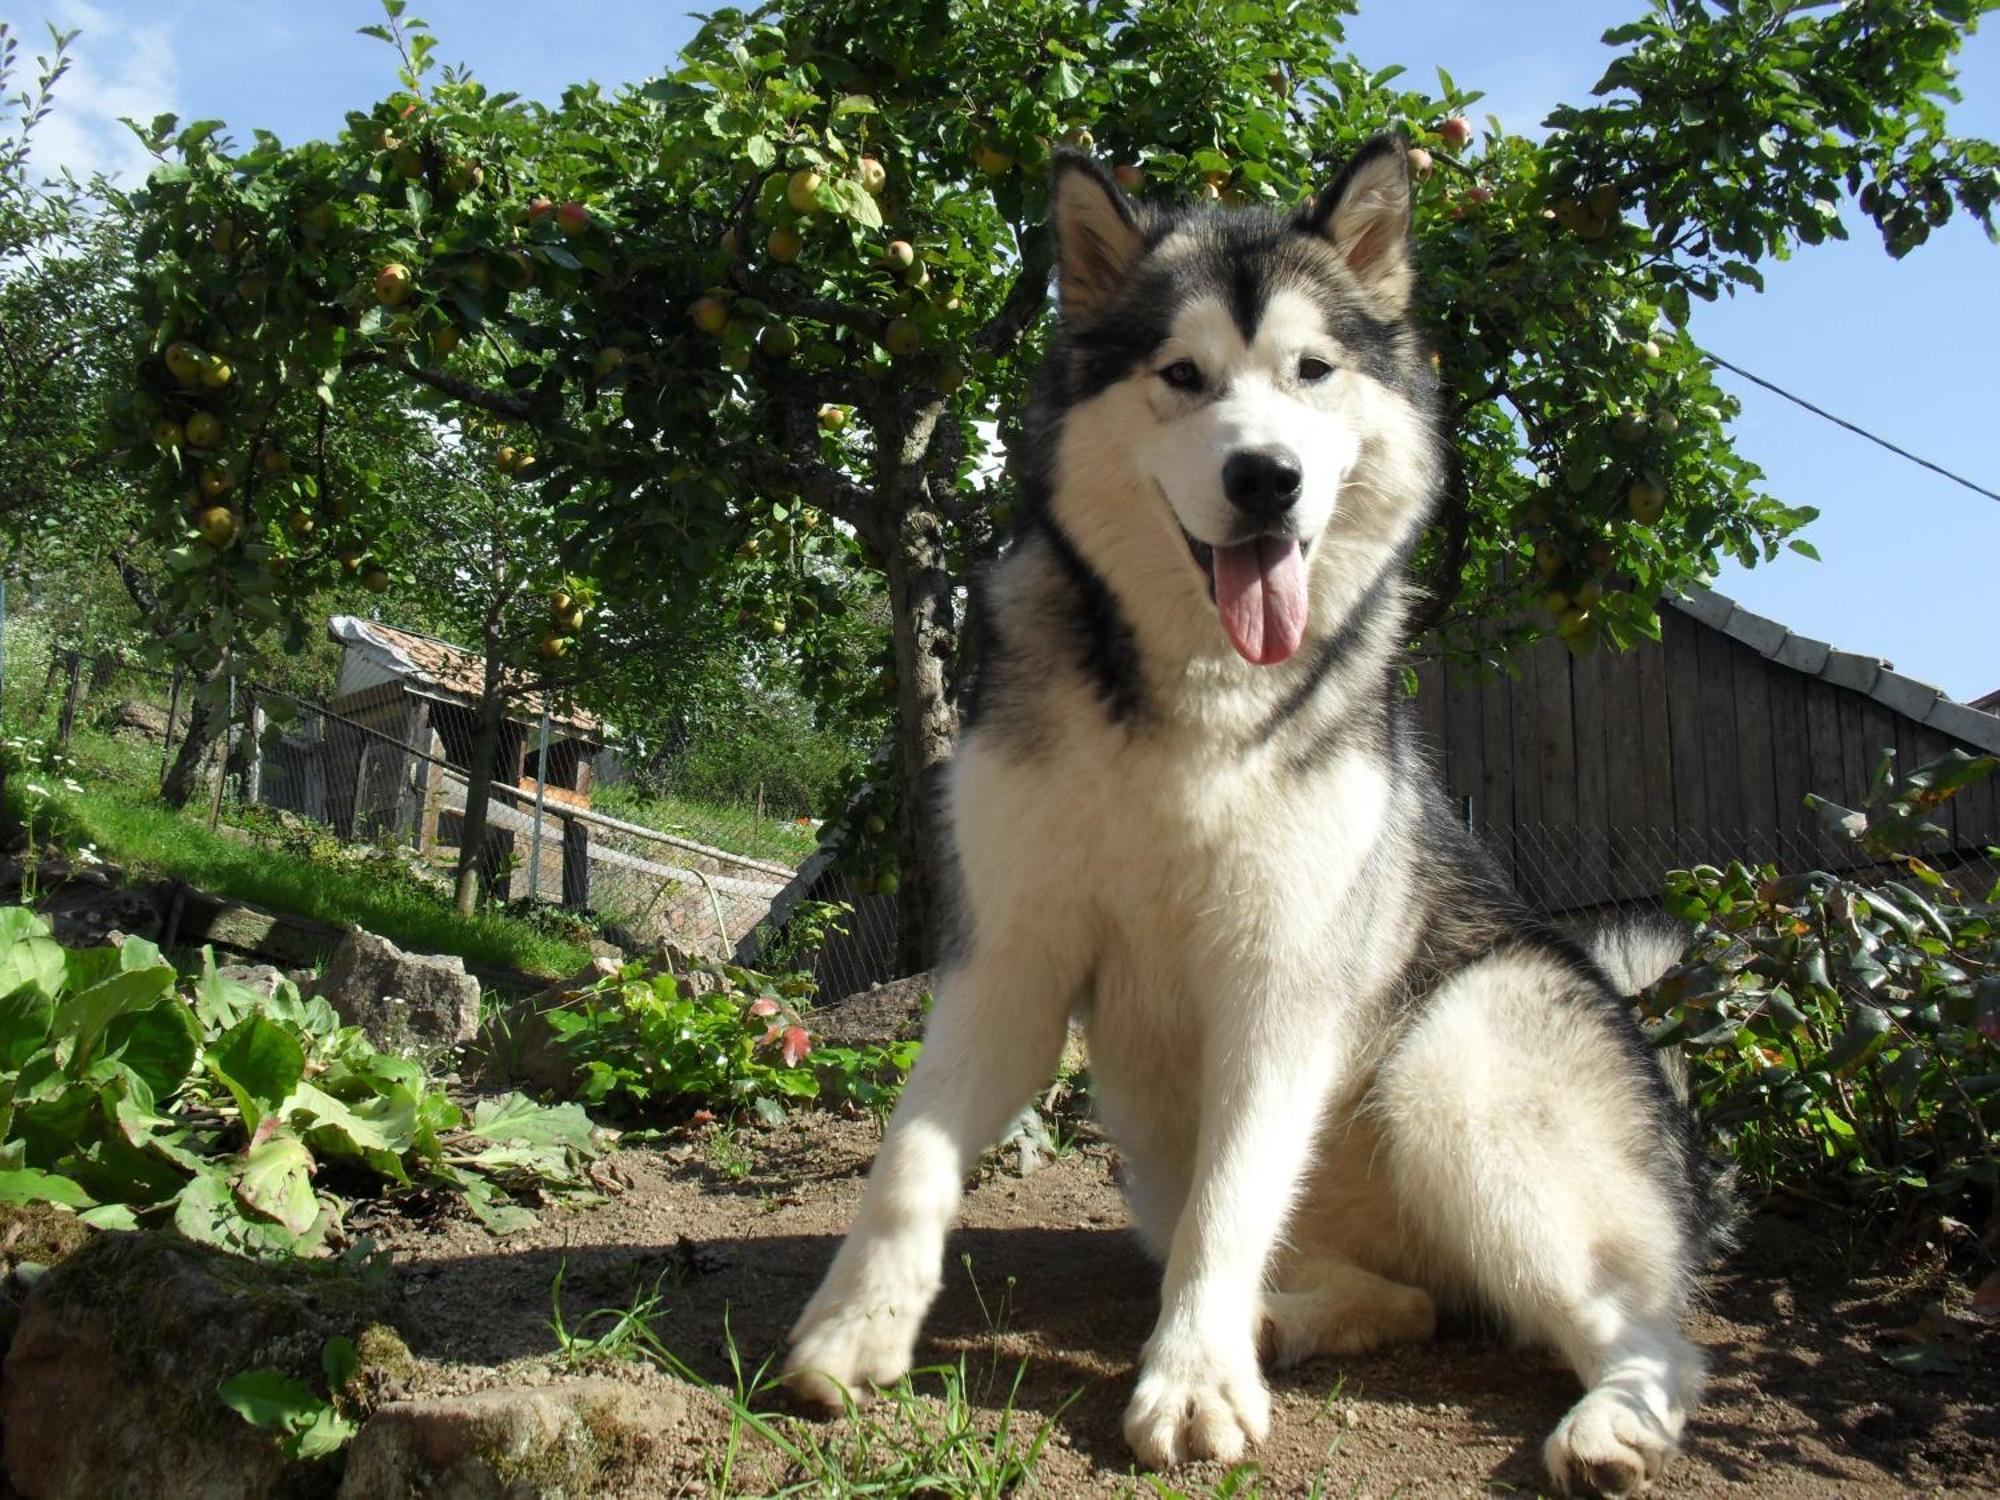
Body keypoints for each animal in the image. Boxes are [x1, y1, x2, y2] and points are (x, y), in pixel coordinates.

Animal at [788, 135, 1728, 1496]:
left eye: (1310, 371)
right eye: (1181, 375)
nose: (1265, 478)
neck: (1189, 699)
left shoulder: (1280, 983)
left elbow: (1231, 1199)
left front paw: (1191, 1383)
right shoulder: (1005, 957)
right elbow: (909, 1155)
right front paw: (853, 1326)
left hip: (1452, 1061)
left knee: (1651, 1328)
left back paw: (1607, 1419)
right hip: (1156, 1148)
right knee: (1391, 1293)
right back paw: (1303, 1316)